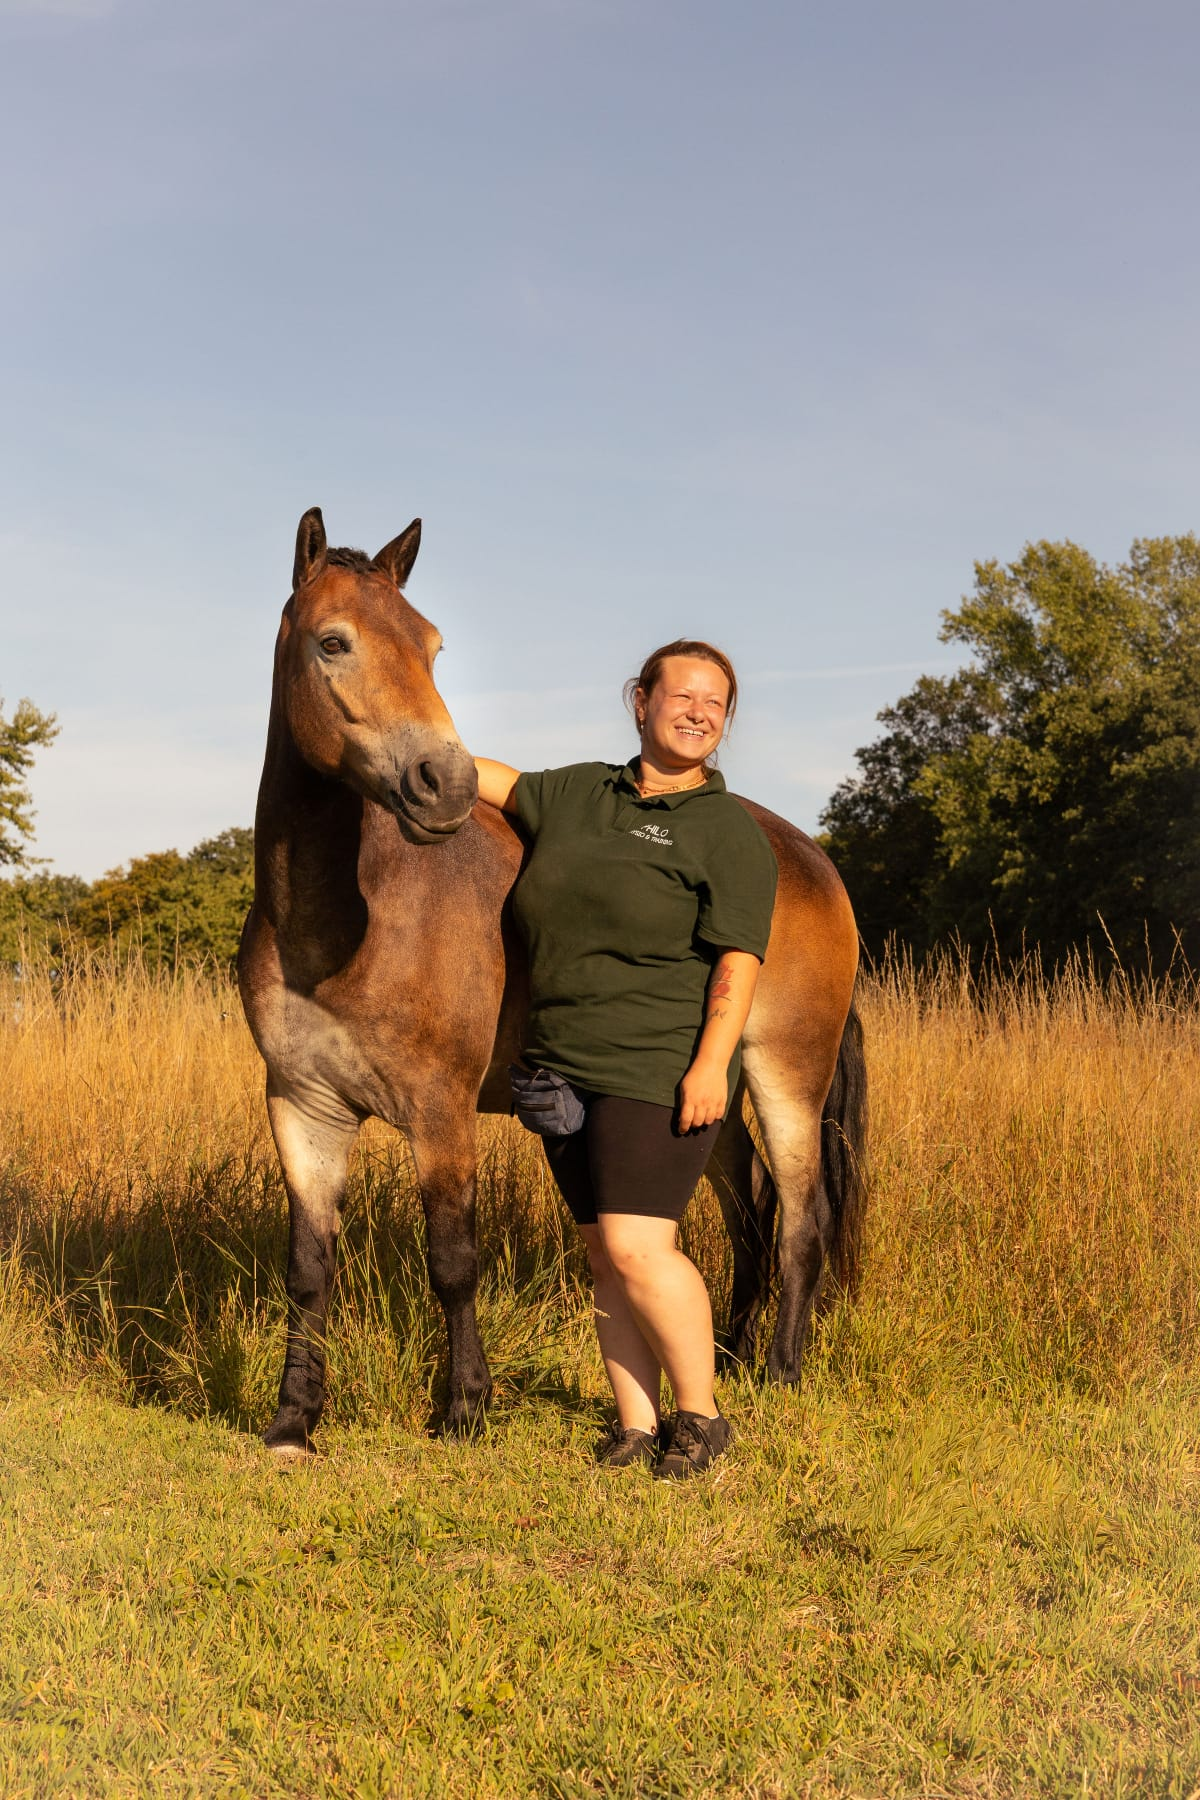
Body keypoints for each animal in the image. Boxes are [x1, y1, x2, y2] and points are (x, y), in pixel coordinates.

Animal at [238, 507, 867, 1454]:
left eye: (432, 645)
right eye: (333, 641)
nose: (447, 783)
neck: (343, 922)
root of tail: (811, 861)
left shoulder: (442, 1110)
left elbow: (452, 1260)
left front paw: (464, 1409)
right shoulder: (304, 1109)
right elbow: (308, 1269)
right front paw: (292, 1421)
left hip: (786, 1072)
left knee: (800, 1218)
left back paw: (780, 1373)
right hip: (709, 1099)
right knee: (750, 1215)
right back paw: (729, 1356)